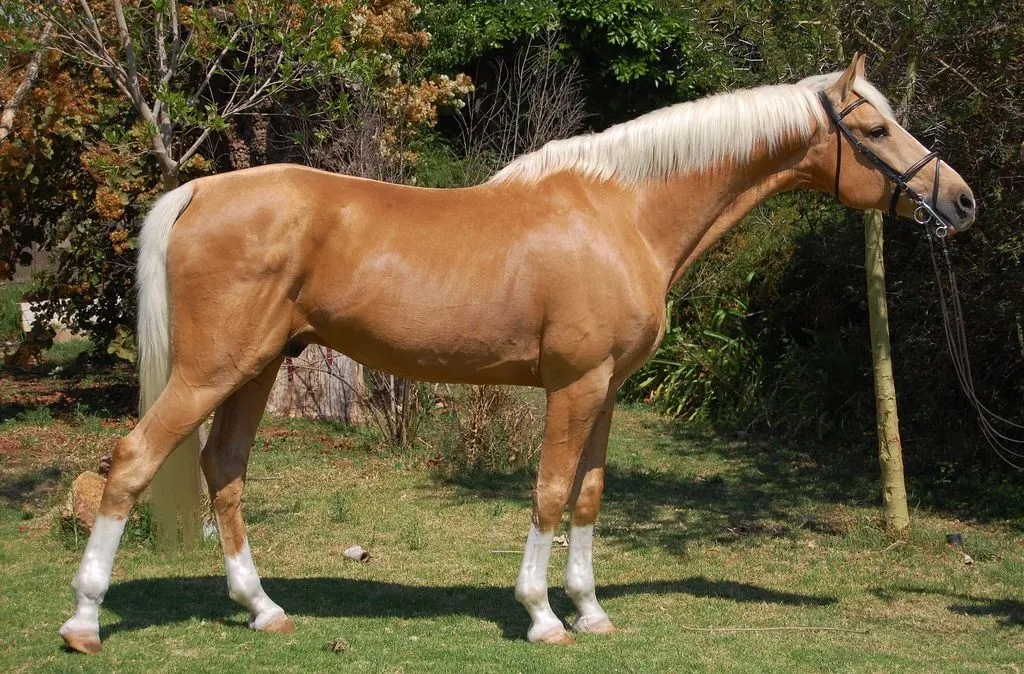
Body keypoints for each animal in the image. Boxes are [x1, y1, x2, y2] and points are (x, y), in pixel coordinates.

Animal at [60, 54, 975, 653]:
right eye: (874, 126)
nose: (960, 201)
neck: (623, 214)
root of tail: (201, 188)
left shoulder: (607, 390)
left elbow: (589, 497)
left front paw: (591, 611)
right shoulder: (573, 386)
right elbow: (547, 492)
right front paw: (542, 617)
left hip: (254, 371)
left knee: (225, 470)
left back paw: (263, 608)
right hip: (210, 370)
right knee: (133, 459)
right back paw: (83, 621)